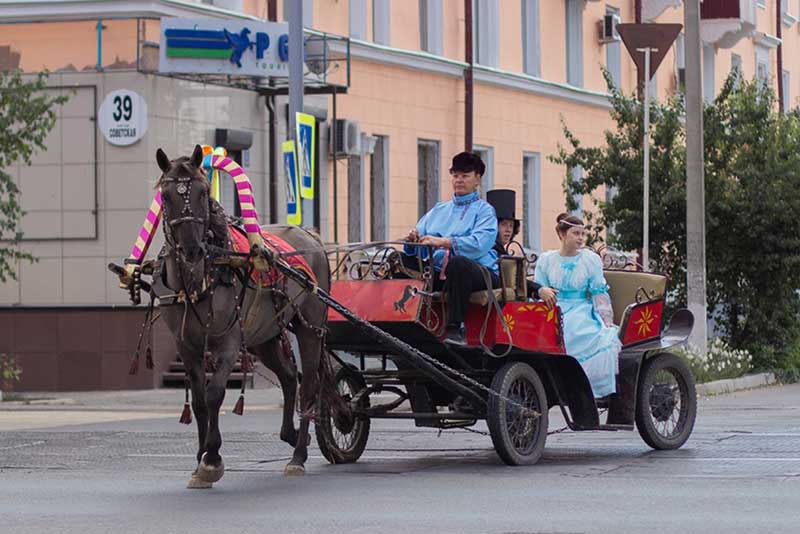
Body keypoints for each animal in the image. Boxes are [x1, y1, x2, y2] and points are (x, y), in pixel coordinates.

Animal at [153, 147, 332, 490]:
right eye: (166, 195)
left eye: (203, 192)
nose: (192, 250)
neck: (200, 279)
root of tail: (311, 234)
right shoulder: (187, 347)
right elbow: (198, 401)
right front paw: (199, 460)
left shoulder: (229, 341)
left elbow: (214, 394)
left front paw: (212, 459)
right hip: (265, 335)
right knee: (289, 376)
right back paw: (290, 435)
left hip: (310, 327)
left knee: (309, 385)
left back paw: (298, 456)